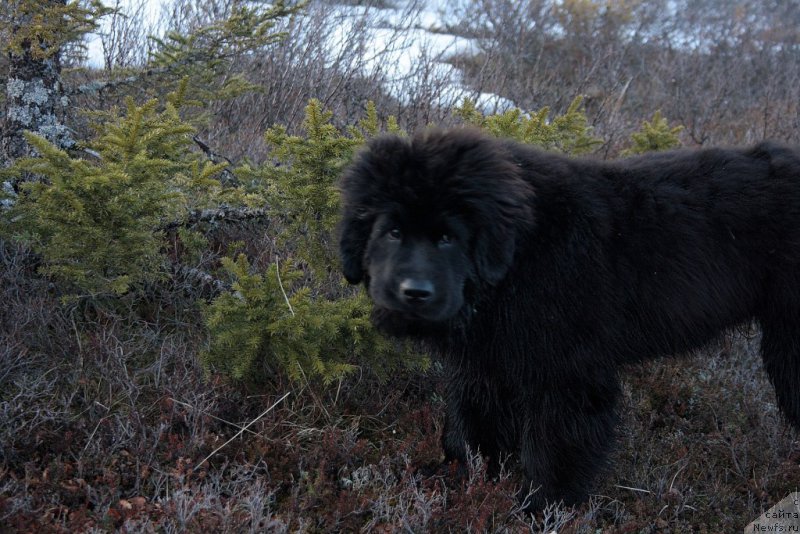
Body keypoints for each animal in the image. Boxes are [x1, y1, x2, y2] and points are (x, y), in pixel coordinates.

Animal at [336, 127, 800, 508]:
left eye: (448, 237)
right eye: (392, 231)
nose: (414, 293)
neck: (520, 254)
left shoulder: (567, 373)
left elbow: (554, 446)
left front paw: (542, 507)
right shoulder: (486, 360)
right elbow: (474, 424)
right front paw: (465, 482)